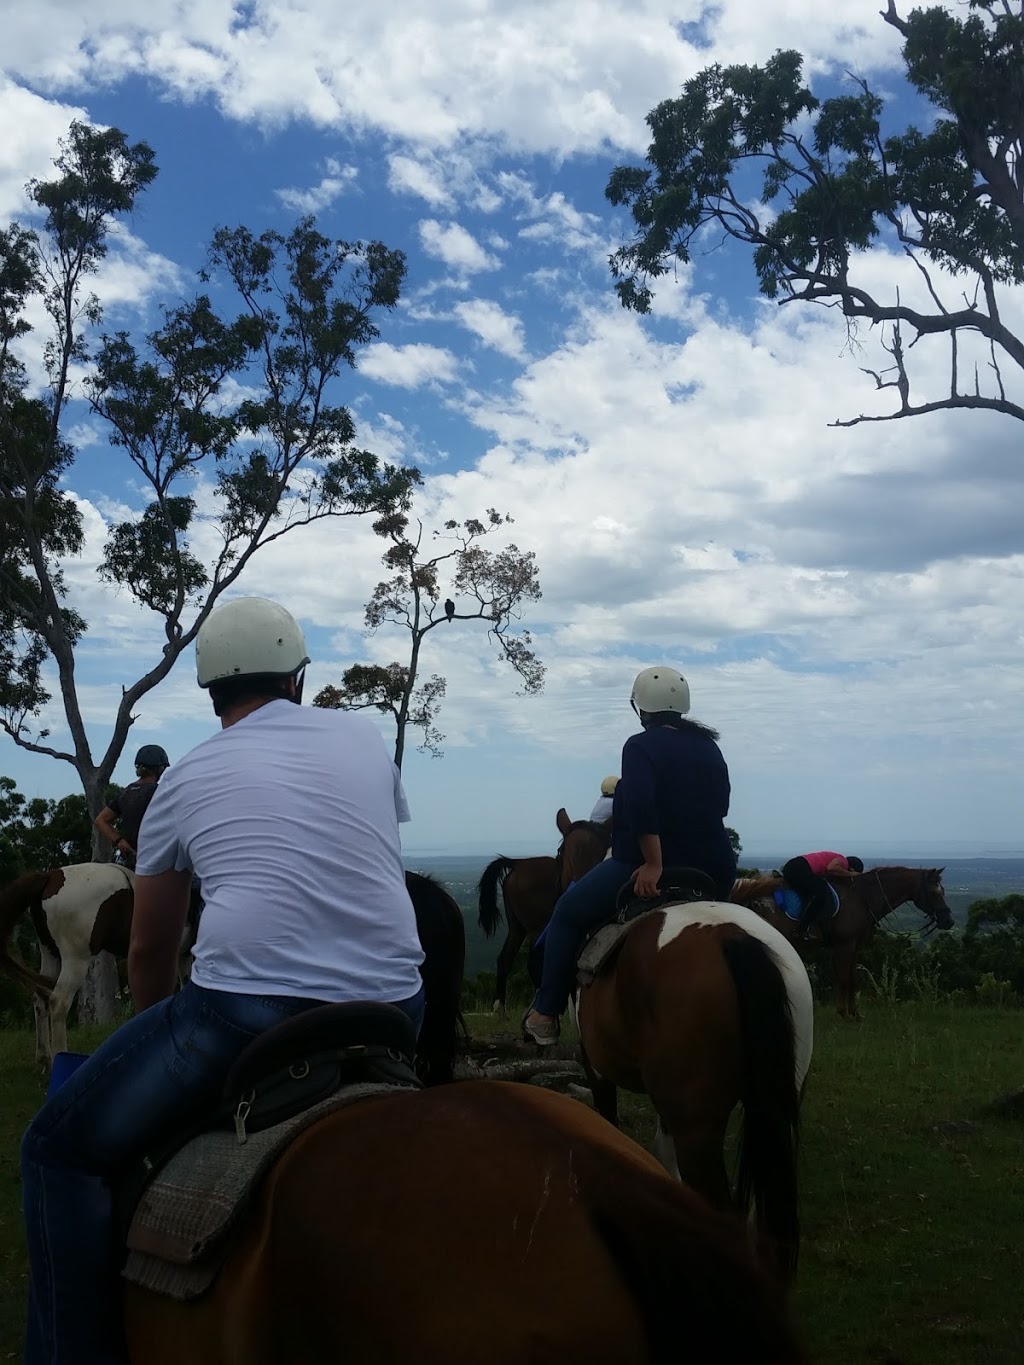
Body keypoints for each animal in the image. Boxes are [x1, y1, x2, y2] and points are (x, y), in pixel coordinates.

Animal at [0, 868, 464, 1081]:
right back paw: (58, 1063)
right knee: (57, 1002)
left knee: (40, 999)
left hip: (52, 953)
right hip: (78, 956)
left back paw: (44, 1059)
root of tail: (50, 875)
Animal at [480, 802, 614, 1010]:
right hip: (537, 927)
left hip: (518, 927)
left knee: (505, 959)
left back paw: (500, 1008)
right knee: (533, 963)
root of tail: (517, 864)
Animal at [731, 868, 955, 1021]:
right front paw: (842, 1013)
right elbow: (843, 979)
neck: (863, 897)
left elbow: (852, 979)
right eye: (934, 893)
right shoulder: (844, 944)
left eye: (944, 891)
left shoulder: (854, 946)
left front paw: (854, 1013)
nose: (949, 921)